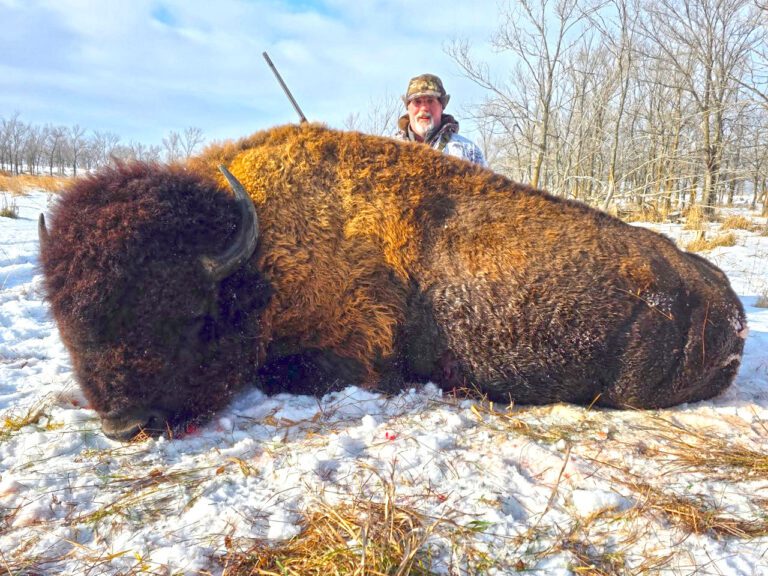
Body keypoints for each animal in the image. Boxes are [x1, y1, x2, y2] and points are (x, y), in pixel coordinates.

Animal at [39, 123, 747, 441]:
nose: (124, 424)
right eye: (65, 319)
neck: (256, 255)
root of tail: (729, 302)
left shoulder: (351, 357)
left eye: (187, 313)